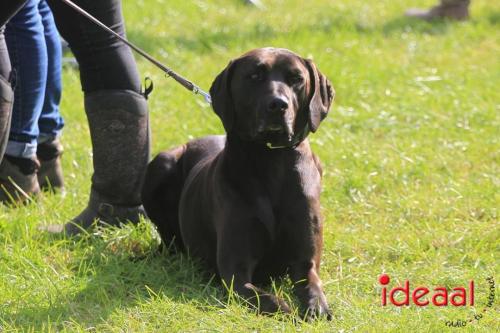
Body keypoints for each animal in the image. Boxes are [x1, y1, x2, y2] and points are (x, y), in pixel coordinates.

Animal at [141, 47, 334, 320]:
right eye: (254, 76)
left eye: (296, 78)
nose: (278, 105)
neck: (271, 159)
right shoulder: (236, 272)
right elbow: (267, 298)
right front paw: (286, 310)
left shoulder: (305, 263)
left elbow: (312, 284)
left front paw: (317, 307)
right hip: (161, 164)